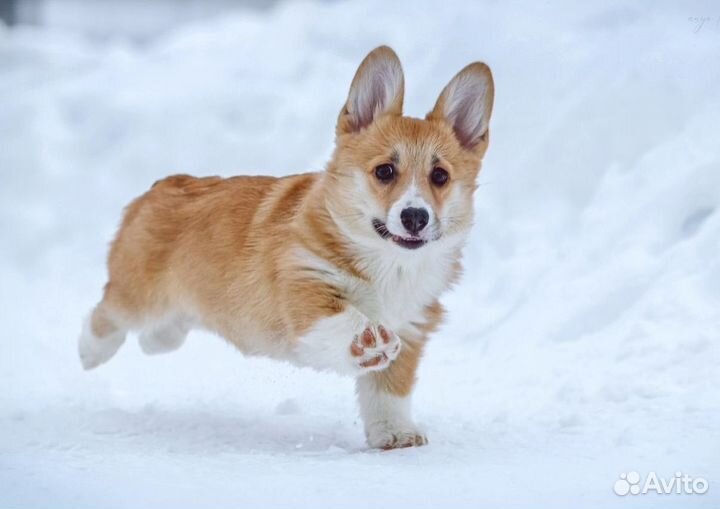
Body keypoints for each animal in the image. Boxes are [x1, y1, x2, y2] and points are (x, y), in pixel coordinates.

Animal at [80, 45, 496, 446]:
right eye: (384, 171)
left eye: (439, 176)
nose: (415, 217)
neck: (388, 265)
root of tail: (162, 184)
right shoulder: (304, 286)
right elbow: (342, 318)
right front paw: (366, 340)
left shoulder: (411, 328)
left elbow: (388, 393)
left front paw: (394, 434)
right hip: (140, 295)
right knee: (107, 311)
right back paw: (90, 351)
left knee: (163, 331)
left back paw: (157, 340)